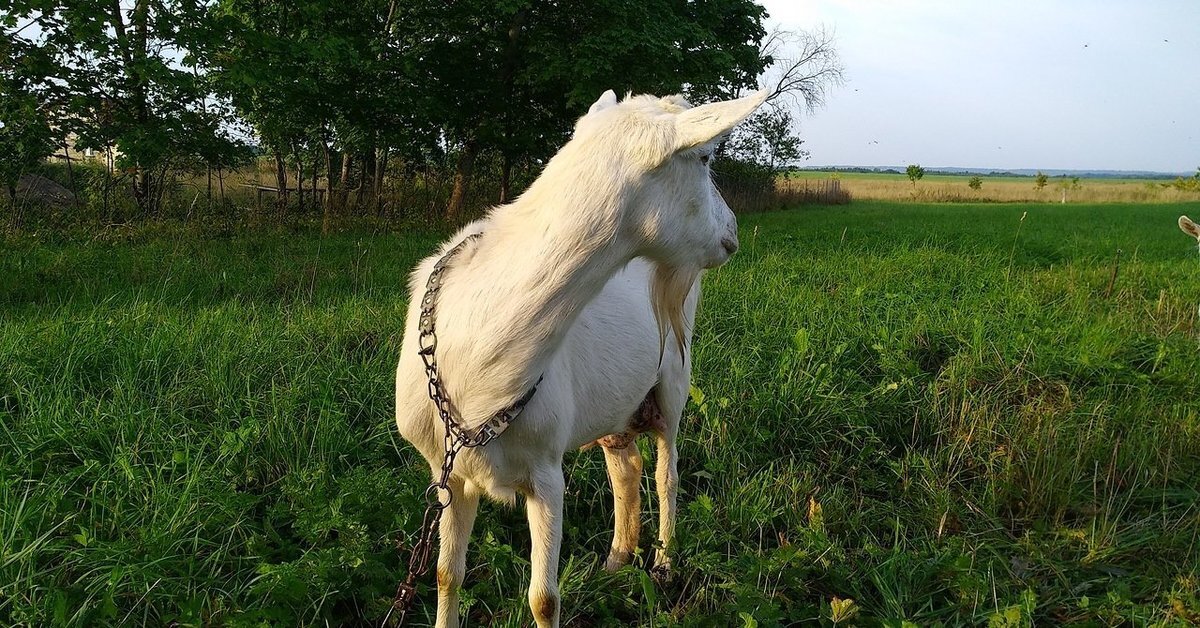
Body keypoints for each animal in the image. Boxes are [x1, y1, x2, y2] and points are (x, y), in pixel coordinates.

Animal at [396, 89, 768, 628]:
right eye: (704, 157)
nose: (732, 232)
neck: (478, 351)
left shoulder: (546, 470)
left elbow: (543, 598)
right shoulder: (450, 474)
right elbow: (447, 575)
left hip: (674, 376)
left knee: (667, 472)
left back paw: (663, 564)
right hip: (615, 403)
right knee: (627, 465)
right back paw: (616, 559)